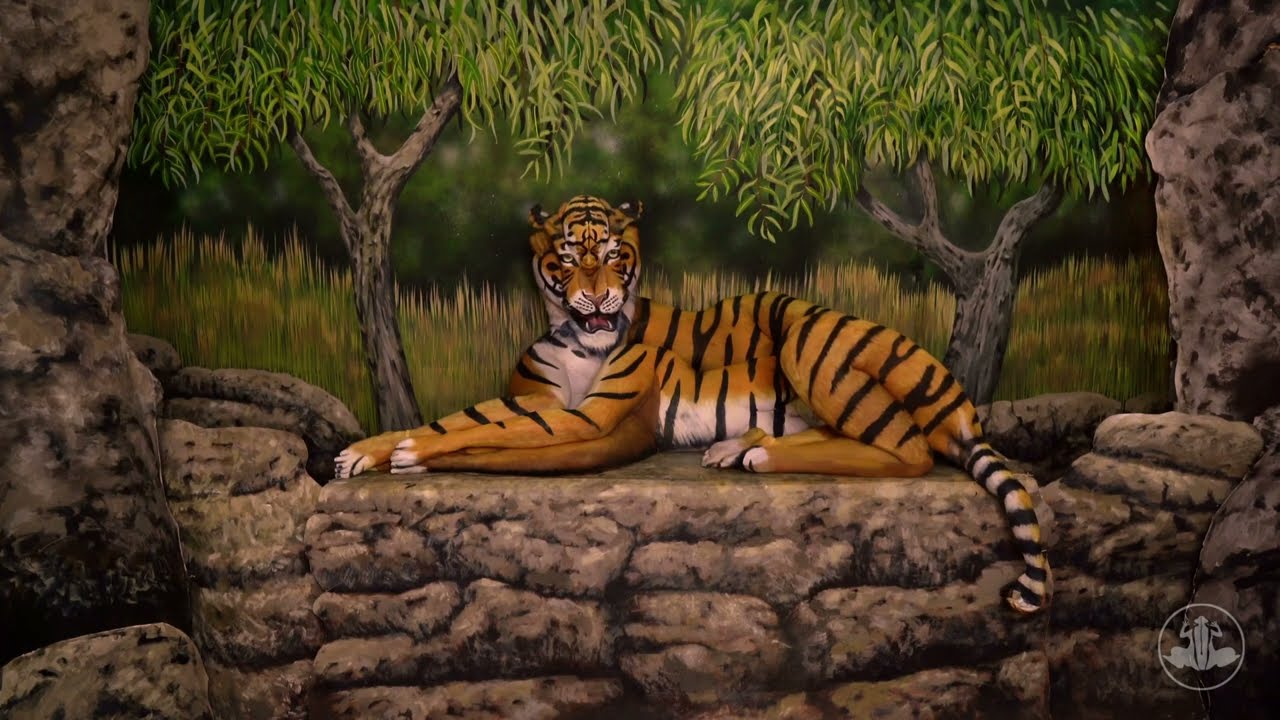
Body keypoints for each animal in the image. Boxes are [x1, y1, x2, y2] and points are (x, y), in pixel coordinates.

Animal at [335, 195, 1052, 614]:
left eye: (614, 254)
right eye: (569, 257)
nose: (598, 296)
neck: (572, 333)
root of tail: (956, 397)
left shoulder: (594, 417)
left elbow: (479, 431)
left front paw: (403, 453)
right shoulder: (537, 398)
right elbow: (467, 419)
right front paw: (369, 452)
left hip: (807, 334)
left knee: (907, 449)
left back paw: (758, 455)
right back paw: (744, 447)